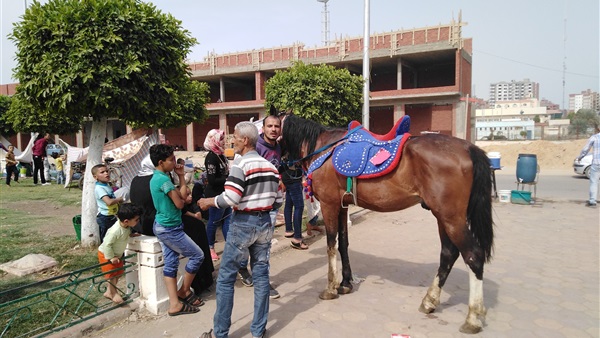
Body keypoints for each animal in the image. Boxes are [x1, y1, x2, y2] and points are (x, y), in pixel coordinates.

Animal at [282, 114, 492, 332]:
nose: (283, 166)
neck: (323, 148)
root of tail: (468, 148)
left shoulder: (329, 204)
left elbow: (331, 245)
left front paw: (331, 288)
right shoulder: (343, 206)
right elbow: (343, 244)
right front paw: (346, 283)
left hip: (451, 218)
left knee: (473, 255)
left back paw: (472, 317)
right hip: (443, 217)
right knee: (448, 254)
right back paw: (430, 301)